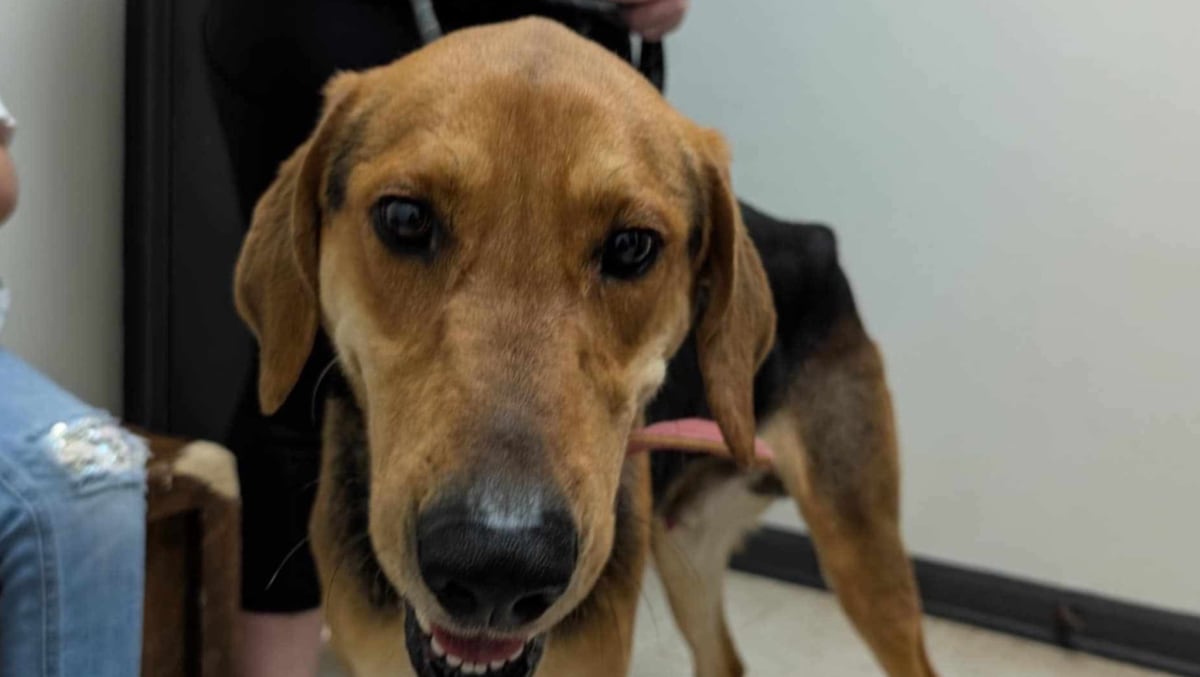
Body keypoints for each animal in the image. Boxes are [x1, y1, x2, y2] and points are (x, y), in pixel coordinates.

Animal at [234, 17, 936, 677]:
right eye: (404, 218)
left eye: (631, 246)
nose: (497, 570)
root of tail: (816, 238)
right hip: (688, 545)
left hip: (859, 545)